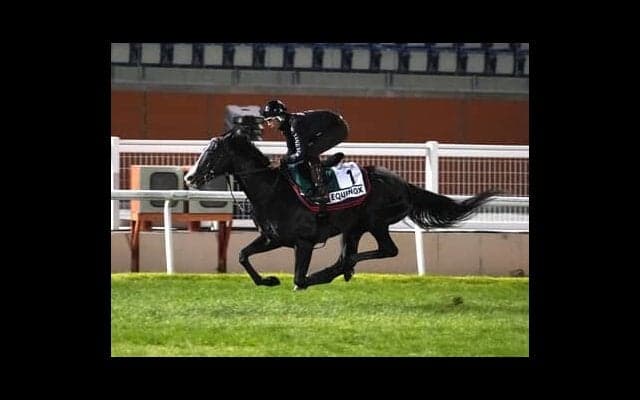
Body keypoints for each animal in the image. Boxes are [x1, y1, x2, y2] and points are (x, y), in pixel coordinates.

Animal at [185, 130, 499, 289]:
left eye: (212, 153)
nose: (190, 177)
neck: (271, 190)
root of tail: (404, 184)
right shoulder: (272, 238)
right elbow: (242, 255)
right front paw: (267, 280)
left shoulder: (304, 242)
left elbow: (299, 277)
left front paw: (305, 279)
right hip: (355, 228)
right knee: (352, 252)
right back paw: (340, 269)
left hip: (375, 221)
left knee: (384, 250)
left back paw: (334, 271)